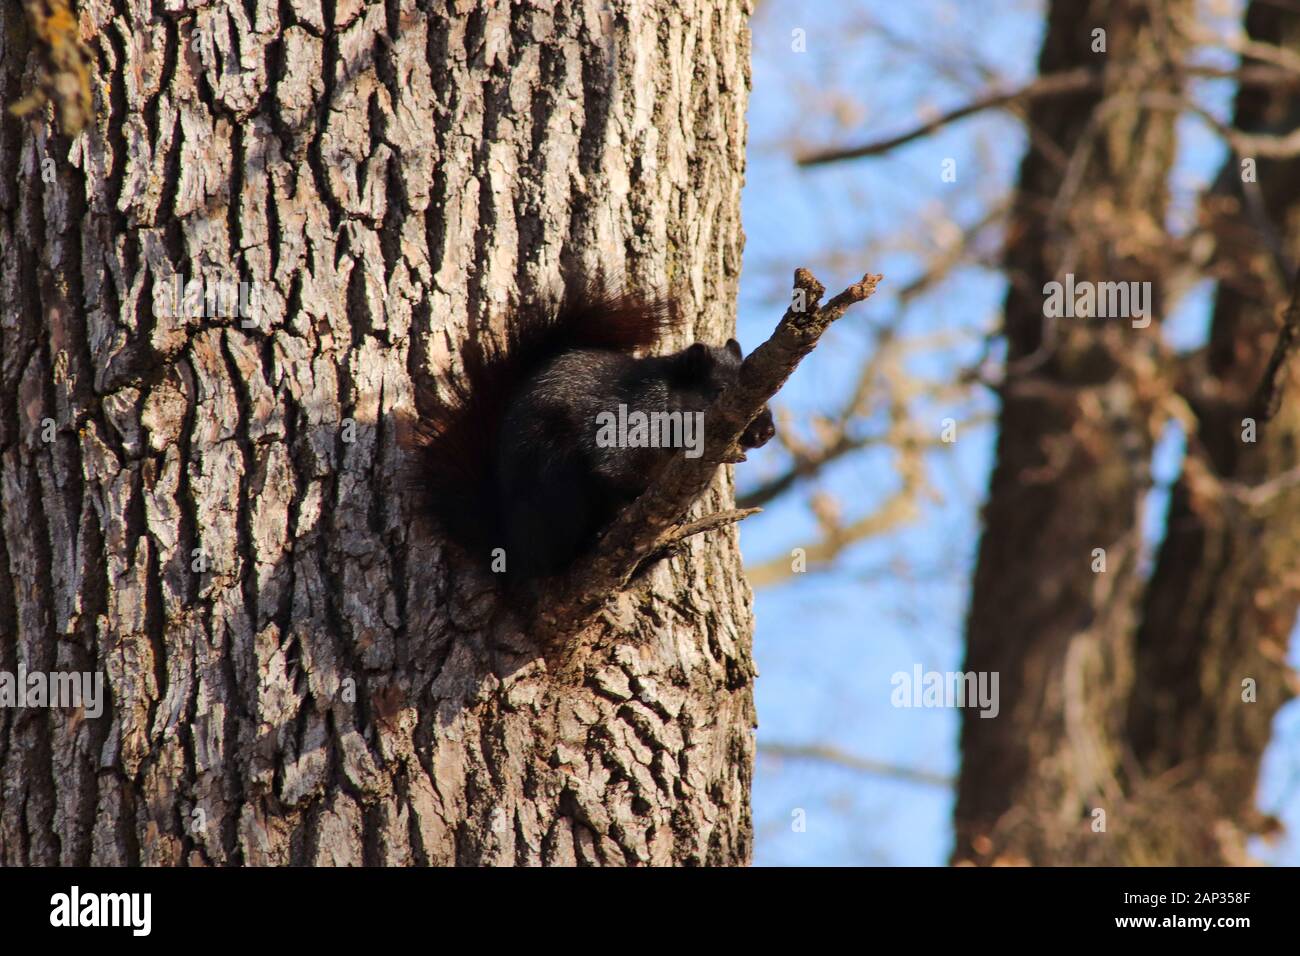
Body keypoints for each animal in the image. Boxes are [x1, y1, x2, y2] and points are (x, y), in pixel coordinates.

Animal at [399, 278, 776, 581]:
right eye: (720, 392)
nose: (767, 433)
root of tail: (514, 548)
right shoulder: (628, 424)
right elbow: (613, 470)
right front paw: (629, 503)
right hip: (556, 485)